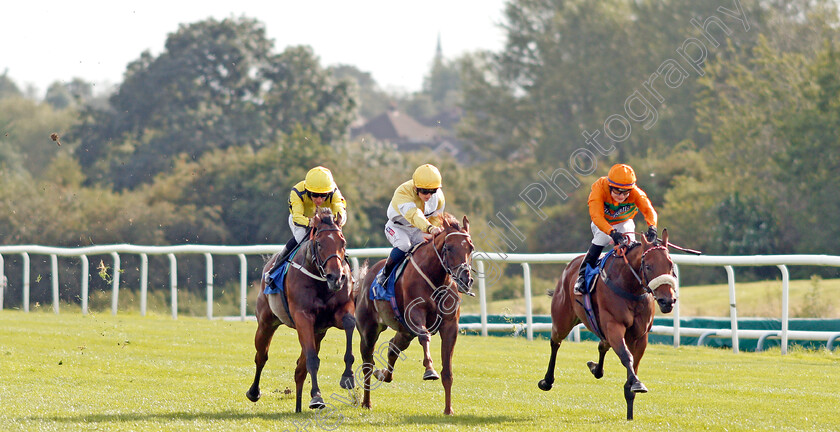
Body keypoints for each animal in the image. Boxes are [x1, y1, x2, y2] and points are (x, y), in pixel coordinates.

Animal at [248, 208, 356, 414]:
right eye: (320, 243)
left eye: (343, 243)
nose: (336, 277)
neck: (321, 282)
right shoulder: (303, 317)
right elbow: (312, 359)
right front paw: (317, 397)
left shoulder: (339, 312)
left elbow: (349, 323)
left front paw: (347, 377)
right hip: (266, 322)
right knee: (261, 356)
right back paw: (254, 392)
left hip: (318, 332)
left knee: (300, 368)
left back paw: (298, 406)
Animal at [352, 213, 472, 416]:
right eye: (449, 247)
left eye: (470, 248)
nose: (465, 278)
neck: (436, 278)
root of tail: (367, 278)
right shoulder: (415, 315)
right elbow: (425, 336)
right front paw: (429, 370)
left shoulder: (450, 326)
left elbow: (447, 371)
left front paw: (448, 409)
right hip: (369, 331)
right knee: (368, 364)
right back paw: (366, 402)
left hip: (405, 332)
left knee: (392, 348)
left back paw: (383, 375)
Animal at [540, 228, 680, 420]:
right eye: (648, 266)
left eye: (670, 265)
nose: (667, 301)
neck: (631, 287)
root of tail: (570, 266)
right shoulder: (614, 326)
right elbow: (626, 356)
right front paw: (637, 384)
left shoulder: (640, 336)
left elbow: (633, 363)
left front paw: (630, 409)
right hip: (563, 319)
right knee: (556, 342)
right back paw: (547, 381)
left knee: (602, 345)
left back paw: (595, 369)